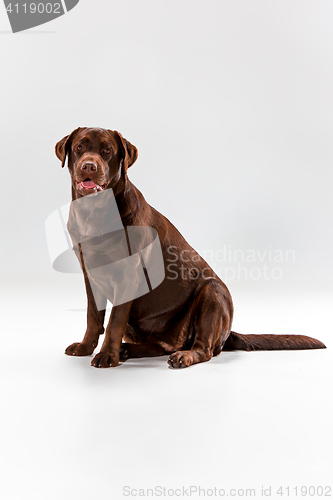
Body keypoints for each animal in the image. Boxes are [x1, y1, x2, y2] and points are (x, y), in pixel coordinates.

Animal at [54, 127, 324, 370]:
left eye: (107, 151)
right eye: (79, 148)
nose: (89, 166)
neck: (95, 215)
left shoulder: (129, 276)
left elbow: (114, 321)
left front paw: (107, 355)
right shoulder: (90, 274)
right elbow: (93, 316)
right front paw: (86, 347)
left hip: (212, 292)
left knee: (204, 349)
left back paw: (180, 356)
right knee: (160, 347)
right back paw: (128, 350)